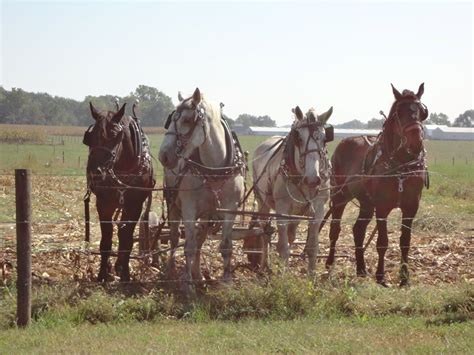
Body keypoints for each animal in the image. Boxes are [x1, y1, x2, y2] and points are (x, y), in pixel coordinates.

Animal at [83, 101, 154, 282]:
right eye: (89, 136)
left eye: (114, 135)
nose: (95, 172)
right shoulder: (104, 204)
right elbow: (106, 239)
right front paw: (102, 273)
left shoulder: (134, 206)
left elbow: (126, 239)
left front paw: (125, 274)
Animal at [158, 88, 244, 290]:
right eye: (171, 118)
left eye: (187, 120)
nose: (164, 155)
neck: (215, 169)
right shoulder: (189, 208)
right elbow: (188, 245)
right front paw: (187, 283)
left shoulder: (230, 209)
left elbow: (225, 245)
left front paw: (226, 280)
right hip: (173, 205)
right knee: (175, 237)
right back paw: (171, 268)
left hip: (207, 214)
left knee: (200, 239)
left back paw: (198, 274)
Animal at [252, 105, 334, 276]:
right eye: (299, 139)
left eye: (324, 139)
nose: (313, 179)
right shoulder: (282, 210)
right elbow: (283, 247)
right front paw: (282, 277)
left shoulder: (318, 210)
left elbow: (312, 247)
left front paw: (311, 276)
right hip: (263, 202)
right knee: (264, 232)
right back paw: (264, 266)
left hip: (296, 213)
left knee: (290, 234)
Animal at [326, 83, 430, 286]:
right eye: (398, 112)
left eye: (422, 112)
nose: (416, 143)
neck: (401, 165)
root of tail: (344, 140)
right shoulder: (382, 207)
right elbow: (382, 242)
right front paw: (381, 277)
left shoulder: (411, 207)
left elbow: (405, 241)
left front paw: (404, 278)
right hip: (339, 196)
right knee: (335, 229)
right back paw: (329, 263)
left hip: (366, 203)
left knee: (358, 230)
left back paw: (361, 269)